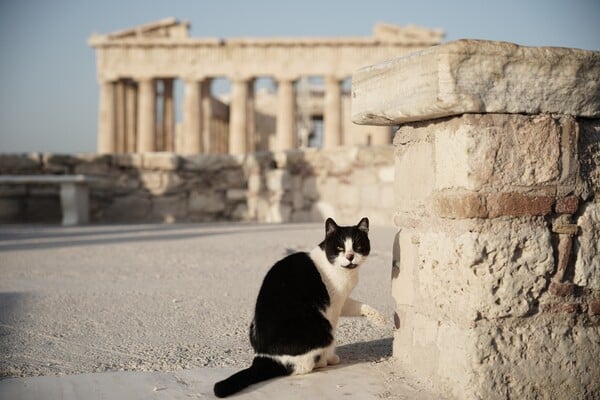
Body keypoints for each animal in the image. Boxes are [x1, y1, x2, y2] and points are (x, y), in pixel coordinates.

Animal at [213, 217, 386, 398]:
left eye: (358, 246)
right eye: (340, 247)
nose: (350, 256)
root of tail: (265, 357)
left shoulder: (341, 301)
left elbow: (357, 306)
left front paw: (379, 318)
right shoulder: (332, 307)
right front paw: (330, 358)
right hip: (322, 328)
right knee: (302, 366)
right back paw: (322, 362)